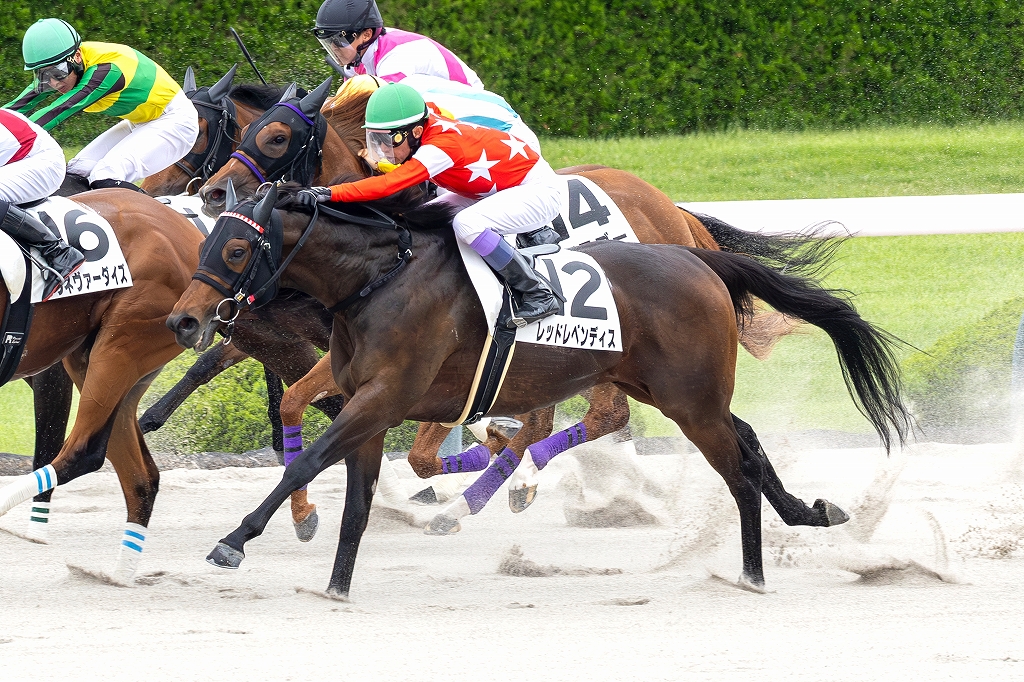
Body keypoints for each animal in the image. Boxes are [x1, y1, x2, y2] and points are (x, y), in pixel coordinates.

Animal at [167, 184, 911, 596]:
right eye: (206, 244)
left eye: (236, 250)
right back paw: (809, 514)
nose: (184, 319)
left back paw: (753, 574)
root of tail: (698, 256)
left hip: (690, 401)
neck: (378, 279)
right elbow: (353, 497)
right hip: (677, 392)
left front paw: (235, 540)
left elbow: (309, 463)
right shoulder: (367, 404)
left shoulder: (384, 397)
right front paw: (336, 586)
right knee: (748, 444)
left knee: (737, 471)